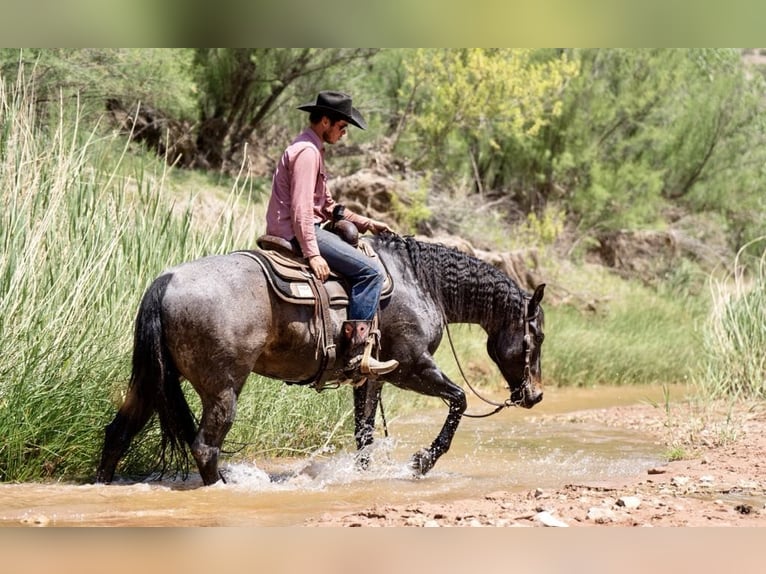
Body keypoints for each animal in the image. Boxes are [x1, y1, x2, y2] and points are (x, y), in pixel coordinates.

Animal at [97, 234, 544, 486]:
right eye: (536, 336)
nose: (536, 396)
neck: (421, 283)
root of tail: (165, 282)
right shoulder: (412, 367)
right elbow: (458, 401)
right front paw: (421, 463)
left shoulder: (372, 378)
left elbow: (364, 435)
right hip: (222, 390)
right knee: (205, 448)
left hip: (148, 384)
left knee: (117, 434)